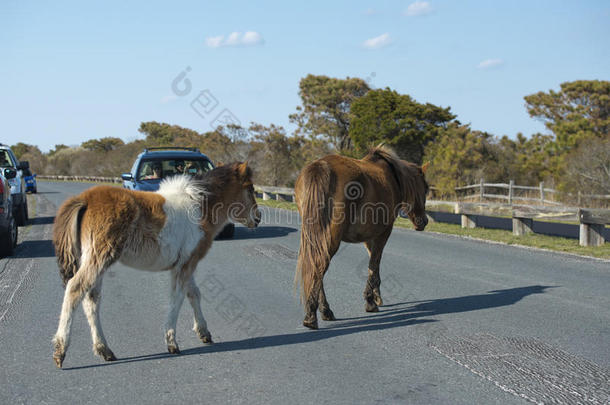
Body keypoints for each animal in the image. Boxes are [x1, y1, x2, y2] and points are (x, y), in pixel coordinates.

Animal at [51, 161, 258, 366]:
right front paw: (172, 342)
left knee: (91, 298)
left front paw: (204, 333)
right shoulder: (185, 266)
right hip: (99, 257)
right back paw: (61, 350)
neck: (200, 207)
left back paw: (104, 350)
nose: (257, 218)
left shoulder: (185, 263)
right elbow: (177, 298)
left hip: (94, 260)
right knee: (75, 288)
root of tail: (84, 199)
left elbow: (193, 294)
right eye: (249, 188)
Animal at [294, 145, 428, 328]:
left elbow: (374, 265)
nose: (424, 222)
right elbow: (374, 264)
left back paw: (323, 311)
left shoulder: (369, 238)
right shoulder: (383, 233)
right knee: (319, 266)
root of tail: (321, 167)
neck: (393, 178)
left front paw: (377, 296)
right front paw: (370, 301)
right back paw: (313, 315)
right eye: (425, 189)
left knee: (315, 265)